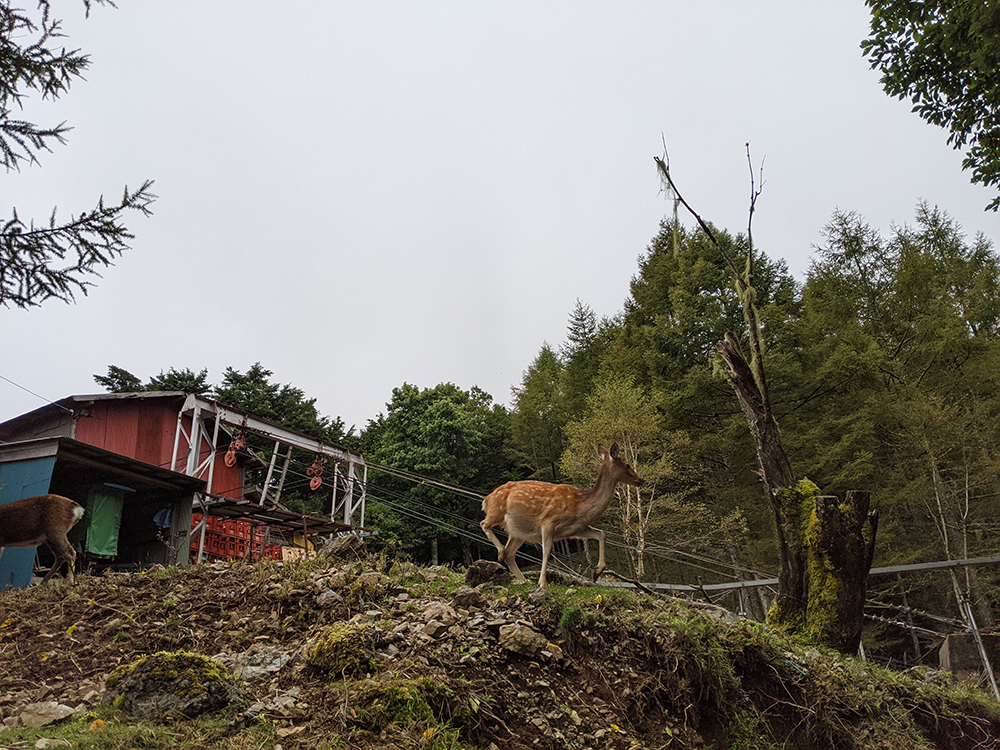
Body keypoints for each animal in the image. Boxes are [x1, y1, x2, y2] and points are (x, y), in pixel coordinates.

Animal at [480, 444, 644, 592]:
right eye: (627, 464)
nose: (641, 479)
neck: (580, 506)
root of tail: (486, 500)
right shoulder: (548, 522)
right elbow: (547, 551)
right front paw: (542, 583)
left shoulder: (575, 529)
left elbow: (601, 533)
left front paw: (597, 572)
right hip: (497, 511)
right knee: (484, 524)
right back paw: (500, 551)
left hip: (519, 532)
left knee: (509, 553)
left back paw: (524, 580)